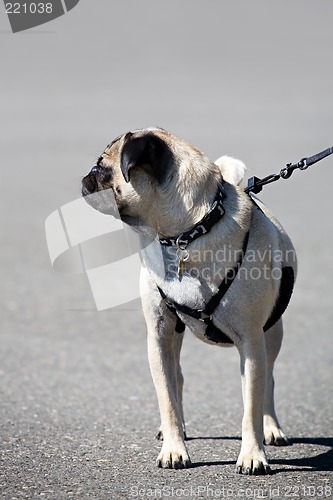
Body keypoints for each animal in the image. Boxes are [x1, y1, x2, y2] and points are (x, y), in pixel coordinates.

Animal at [81, 127, 296, 474]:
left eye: (101, 168)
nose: (85, 176)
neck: (187, 233)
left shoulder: (251, 342)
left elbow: (250, 404)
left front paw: (253, 454)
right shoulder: (158, 334)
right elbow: (166, 397)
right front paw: (174, 447)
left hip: (271, 334)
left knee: (268, 380)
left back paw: (272, 428)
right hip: (175, 335)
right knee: (176, 377)